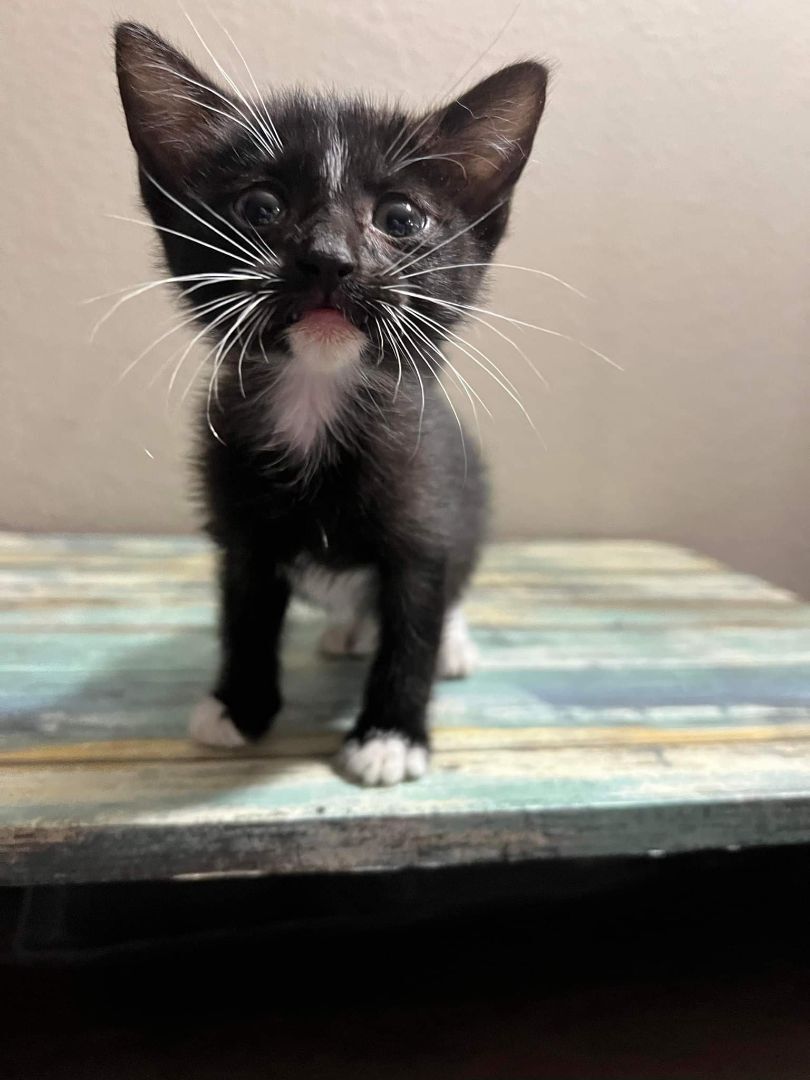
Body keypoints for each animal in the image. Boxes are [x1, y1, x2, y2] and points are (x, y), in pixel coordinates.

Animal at [114, 23, 548, 786]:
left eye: (400, 218)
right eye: (260, 207)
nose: (328, 257)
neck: (316, 397)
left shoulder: (430, 506)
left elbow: (414, 625)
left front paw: (391, 736)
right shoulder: (240, 528)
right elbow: (246, 615)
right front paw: (239, 705)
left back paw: (451, 643)